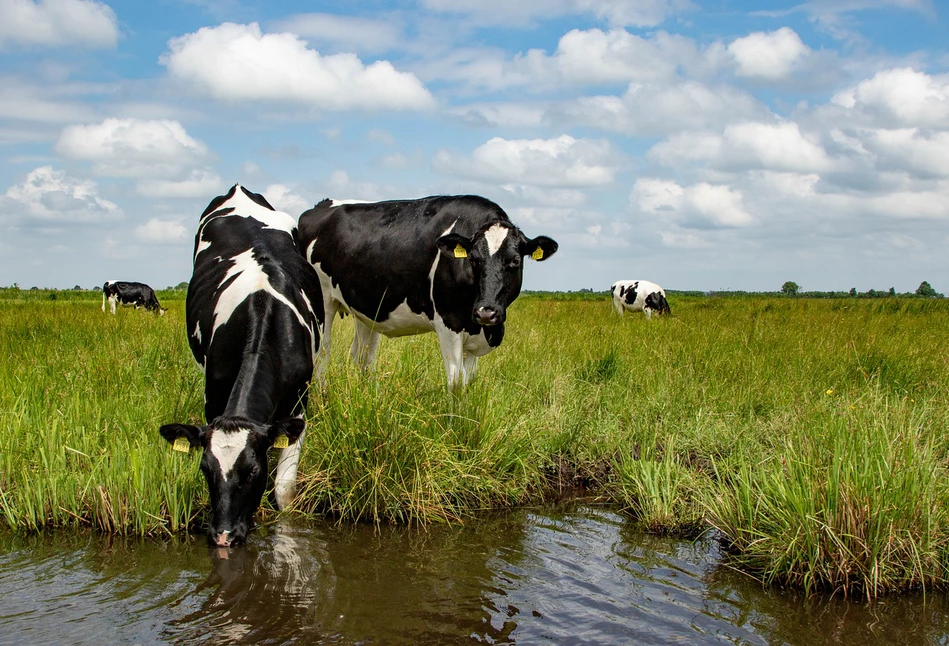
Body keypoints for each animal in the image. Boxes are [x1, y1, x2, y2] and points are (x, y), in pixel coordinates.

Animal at [159, 185, 326, 548]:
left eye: (252, 470)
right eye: (205, 469)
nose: (223, 536)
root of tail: (238, 190)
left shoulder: (299, 402)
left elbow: (284, 489)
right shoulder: (212, 398)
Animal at [298, 196, 556, 390]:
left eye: (514, 261)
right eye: (473, 259)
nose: (486, 312)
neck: (484, 330)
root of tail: (322, 205)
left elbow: (469, 382)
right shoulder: (449, 323)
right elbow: (455, 383)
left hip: (366, 309)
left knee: (363, 356)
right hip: (323, 302)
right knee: (323, 353)